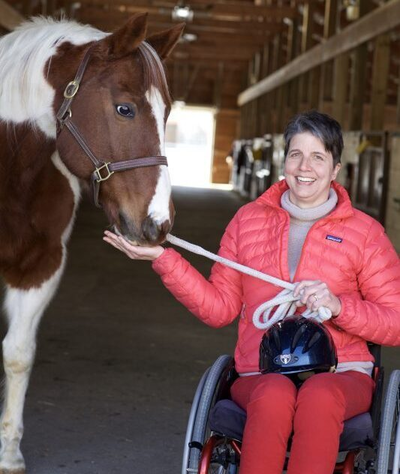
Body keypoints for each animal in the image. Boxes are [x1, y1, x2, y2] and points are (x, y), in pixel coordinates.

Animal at [0, 13, 183, 473]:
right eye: (124, 108)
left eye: (167, 112)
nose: (158, 223)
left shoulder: (40, 266)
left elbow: (18, 353)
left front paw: (8, 451)